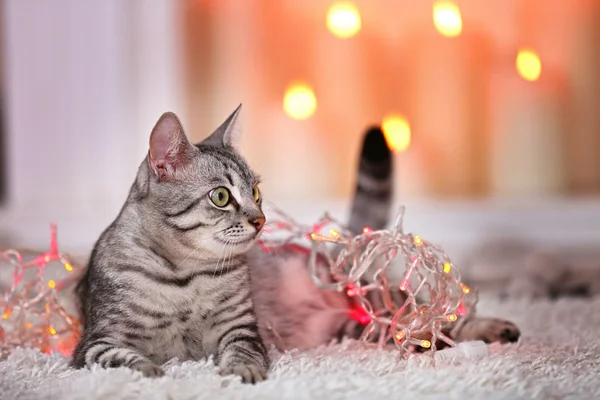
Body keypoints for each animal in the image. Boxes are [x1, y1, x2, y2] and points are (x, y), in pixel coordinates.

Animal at [70, 106, 270, 384]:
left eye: (255, 192)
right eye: (221, 196)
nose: (261, 220)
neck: (185, 275)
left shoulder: (240, 325)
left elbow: (243, 349)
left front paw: (242, 369)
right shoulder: (97, 341)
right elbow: (119, 357)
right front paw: (147, 370)